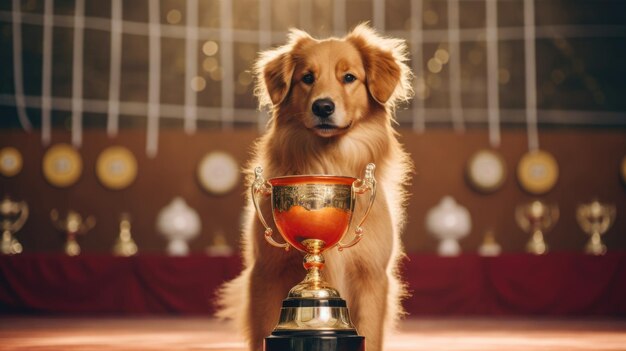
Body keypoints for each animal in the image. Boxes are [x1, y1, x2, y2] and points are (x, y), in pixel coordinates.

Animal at [217, 24, 412, 351]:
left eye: (349, 77)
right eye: (307, 77)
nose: (323, 106)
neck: (326, 160)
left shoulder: (372, 276)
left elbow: (371, 332)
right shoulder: (267, 273)